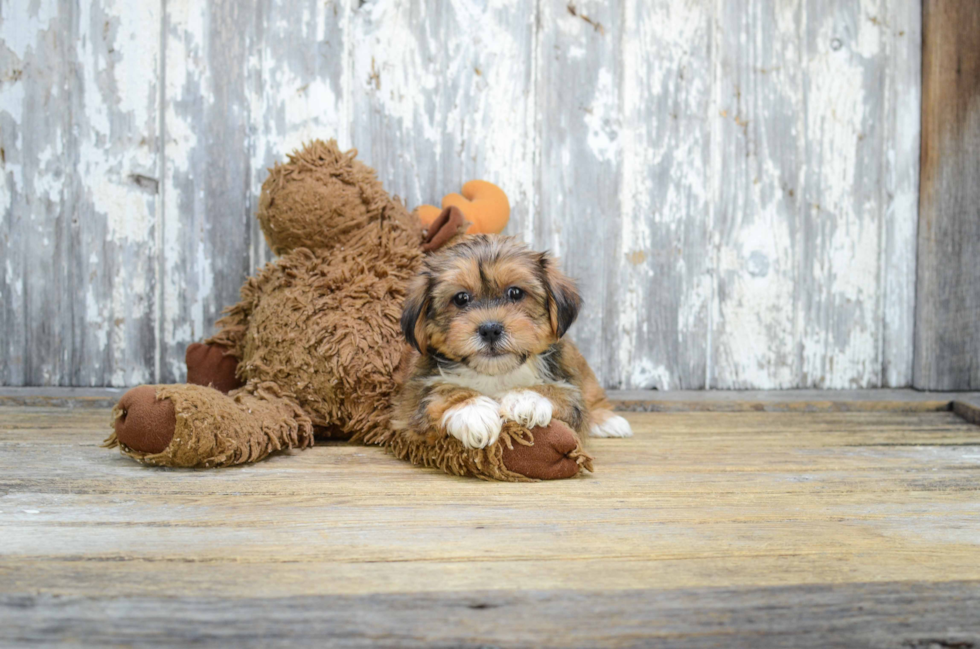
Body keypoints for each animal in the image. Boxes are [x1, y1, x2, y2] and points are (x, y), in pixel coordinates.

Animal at [392, 234, 636, 450]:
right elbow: (435, 392)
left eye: (515, 293)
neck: (496, 372)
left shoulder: (568, 382)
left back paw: (607, 419)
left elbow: (565, 394)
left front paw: (528, 398)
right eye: (461, 298)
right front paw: (473, 410)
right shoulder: (410, 398)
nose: (490, 330)